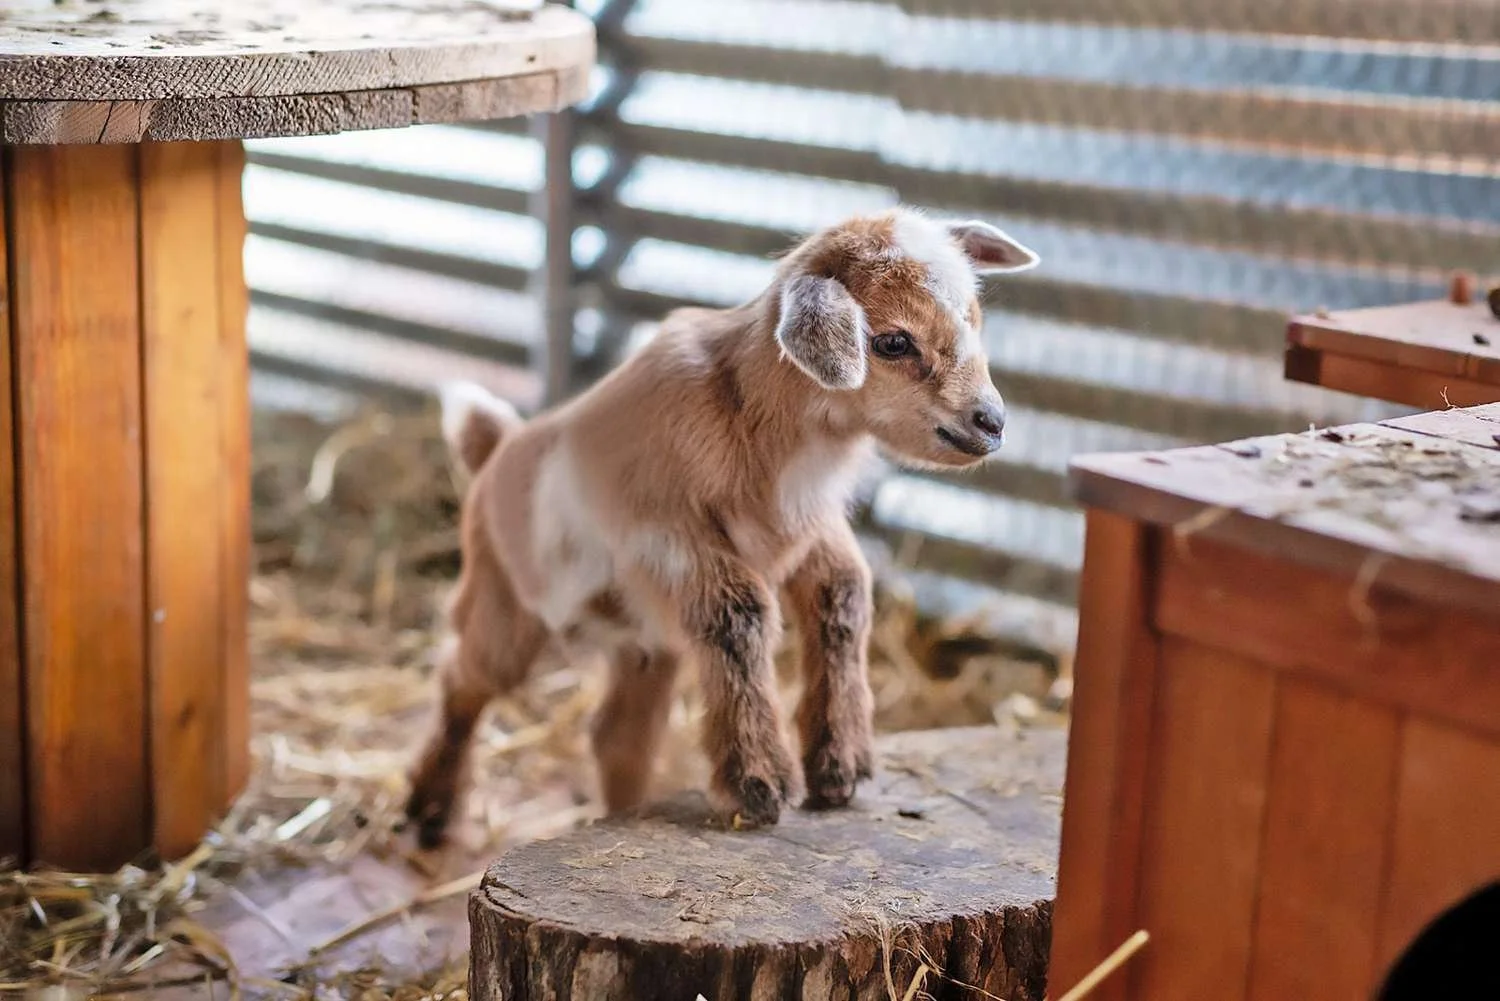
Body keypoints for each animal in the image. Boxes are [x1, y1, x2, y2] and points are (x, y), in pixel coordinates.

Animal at [405, 208, 1039, 846]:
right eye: (892, 341)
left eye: (974, 318)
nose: (990, 422)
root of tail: (497, 448)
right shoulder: (668, 537)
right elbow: (740, 614)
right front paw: (759, 786)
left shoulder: (808, 528)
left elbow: (843, 594)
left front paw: (839, 769)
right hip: (503, 600)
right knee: (463, 679)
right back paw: (429, 809)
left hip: (645, 641)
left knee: (617, 735)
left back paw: (620, 813)